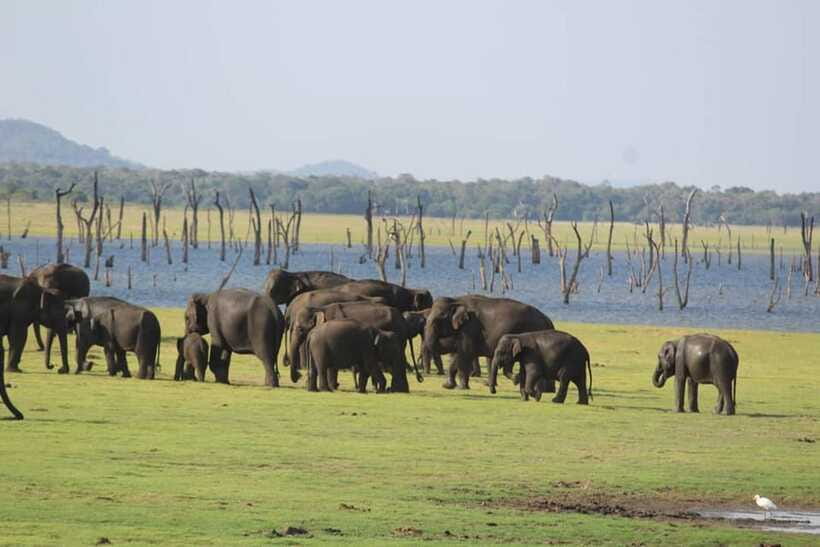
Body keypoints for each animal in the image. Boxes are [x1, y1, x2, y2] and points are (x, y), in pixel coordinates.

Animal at [0, 276, 68, 419]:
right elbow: (19, 335)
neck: (41, 289)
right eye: (59, 313)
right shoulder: (19, 309)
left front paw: (15, 368)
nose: (57, 368)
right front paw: (15, 370)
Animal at [423, 295, 554, 390]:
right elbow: (457, 355)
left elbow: (464, 354)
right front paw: (447, 386)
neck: (456, 300)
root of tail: (548, 320)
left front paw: (462, 387)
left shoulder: (470, 329)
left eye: (439, 319)